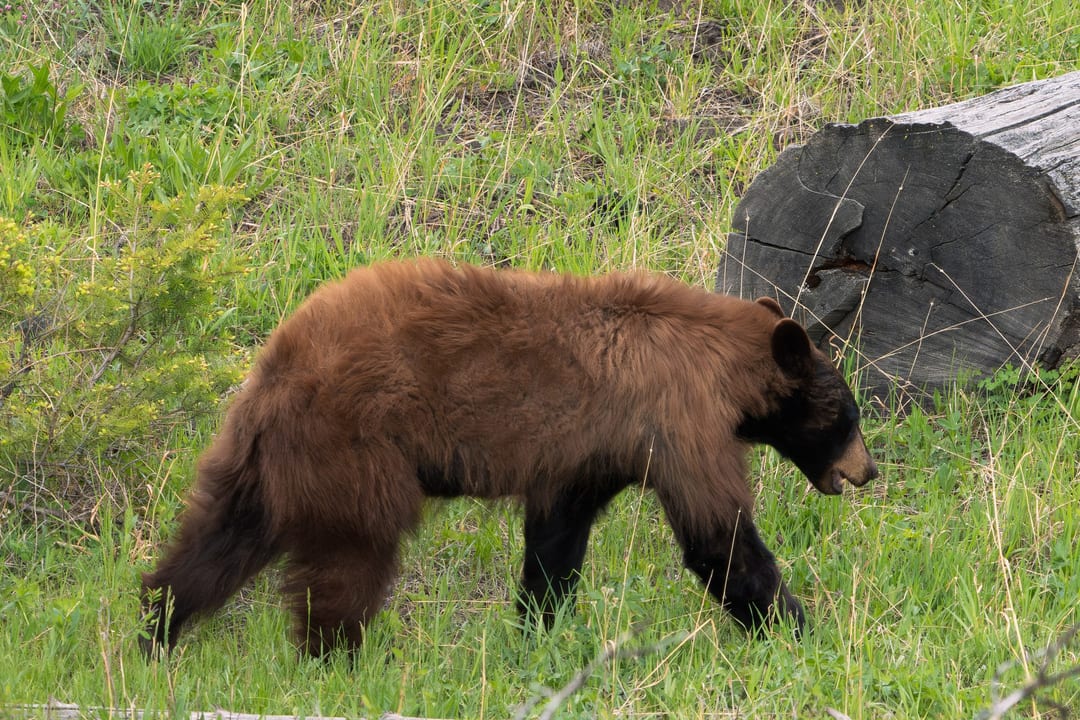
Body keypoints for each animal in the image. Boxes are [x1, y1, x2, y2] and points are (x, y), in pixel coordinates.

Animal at [140, 259, 877, 658]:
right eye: (848, 416)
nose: (866, 471)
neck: (719, 364)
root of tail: (278, 365)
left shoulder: (585, 457)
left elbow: (555, 542)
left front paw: (539, 629)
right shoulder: (681, 422)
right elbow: (719, 540)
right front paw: (799, 628)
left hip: (259, 463)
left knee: (213, 546)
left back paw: (154, 630)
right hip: (354, 450)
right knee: (349, 563)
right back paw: (336, 660)